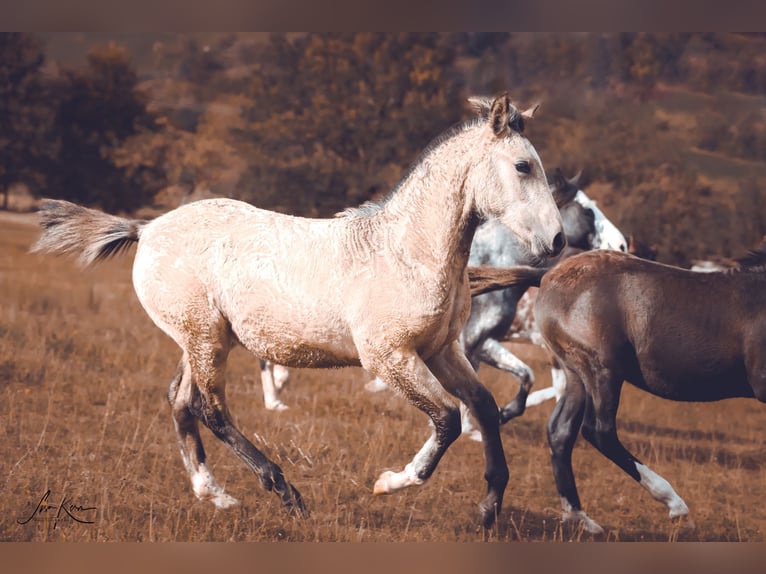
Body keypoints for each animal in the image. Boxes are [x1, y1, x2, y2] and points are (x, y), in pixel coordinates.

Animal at [30, 94, 568, 532]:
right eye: (524, 166)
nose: (558, 241)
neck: (403, 251)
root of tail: (146, 229)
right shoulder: (389, 357)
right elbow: (448, 418)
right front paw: (392, 482)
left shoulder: (442, 351)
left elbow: (483, 408)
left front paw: (489, 509)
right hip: (204, 338)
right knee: (210, 408)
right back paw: (286, 493)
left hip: (202, 339)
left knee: (181, 401)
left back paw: (216, 495)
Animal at [468, 250, 766, 536]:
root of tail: (548, 275)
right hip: (602, 370)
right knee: (599, 431)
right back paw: (675, 505)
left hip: (576, 374)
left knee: (560, 431)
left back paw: (578, 517)